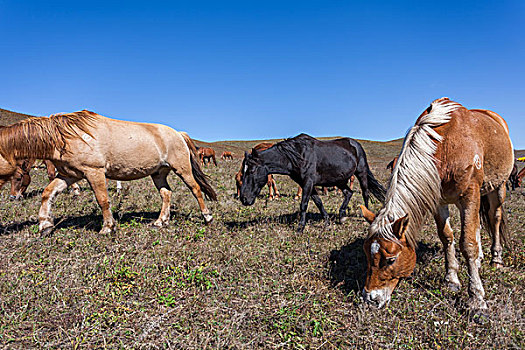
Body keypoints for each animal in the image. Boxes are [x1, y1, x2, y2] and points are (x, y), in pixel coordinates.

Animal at [0, 110, 217, 234]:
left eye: (18, 177)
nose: (12, 198)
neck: (66, 135)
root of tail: (178, 134)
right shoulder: (69, 175)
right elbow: (47, 193)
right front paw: (45, 225)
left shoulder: (94, 172)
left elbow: (102, 200)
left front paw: (107, 228)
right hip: (159, 173)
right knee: (166, 194)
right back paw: (161, 221)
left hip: (183, 169)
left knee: (196, 190)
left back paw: (207, 217)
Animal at [238, 134, 384, 232]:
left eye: (252, 170)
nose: (244, 199)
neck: (297, 155)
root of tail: (355, 144)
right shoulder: (307, 184)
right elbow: (318, 202)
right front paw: (326, 221)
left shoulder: (308, 182)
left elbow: (304, 204)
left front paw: (300, 227)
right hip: (339, 179)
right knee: (348, 193)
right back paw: (341, 216)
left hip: (361, 173)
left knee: (365, 193)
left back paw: (366, 215)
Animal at [360, 97, 512, 318]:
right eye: (366, 254)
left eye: (390, 259)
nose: (370, 298)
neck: (446, 145)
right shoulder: (439, 201)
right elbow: (447, 236)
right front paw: (451, 280)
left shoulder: (470, 195)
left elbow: (468, 244)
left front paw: (477, 299)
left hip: (498, 187)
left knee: (495, 218)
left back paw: (496, 259)